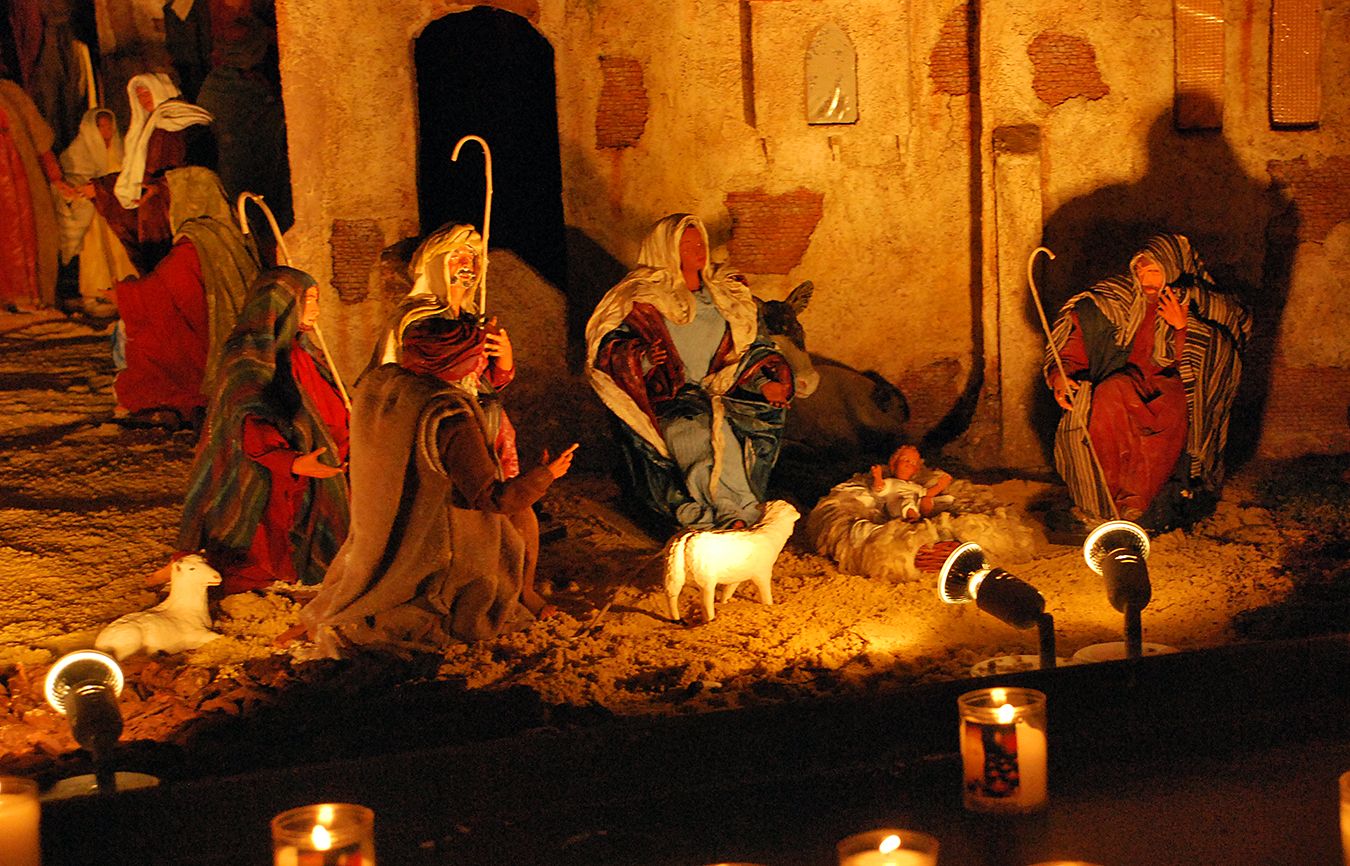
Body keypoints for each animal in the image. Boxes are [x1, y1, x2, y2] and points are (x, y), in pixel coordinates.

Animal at [664, 497, 799, 624]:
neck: (769, 528)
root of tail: (687, 538)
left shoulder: (737, 576)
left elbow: (728, 591)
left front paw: (724, 603)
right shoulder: (762, 573)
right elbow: (766, 595)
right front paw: (770, 605)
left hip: (672, 574)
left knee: (671, 596)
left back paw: (676, 619)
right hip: (706, 580)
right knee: (705, 603)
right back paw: (710, 620)